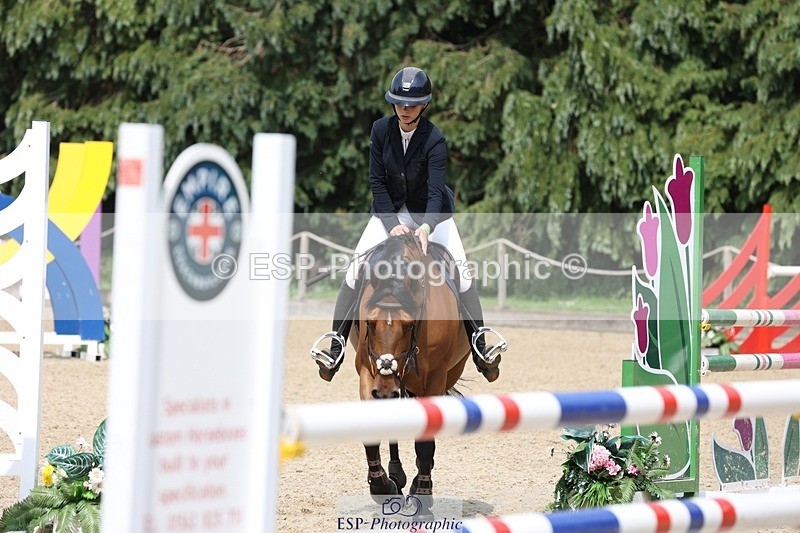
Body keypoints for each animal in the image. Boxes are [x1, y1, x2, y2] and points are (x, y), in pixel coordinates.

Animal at [348, 233, 471, 513]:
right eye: (369, 323)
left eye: (409, 325)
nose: (384, 391)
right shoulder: (367, 372)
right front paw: (381, 486)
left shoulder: (435, 378)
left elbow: (425, 442)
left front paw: (423, 493)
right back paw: (396, 474)